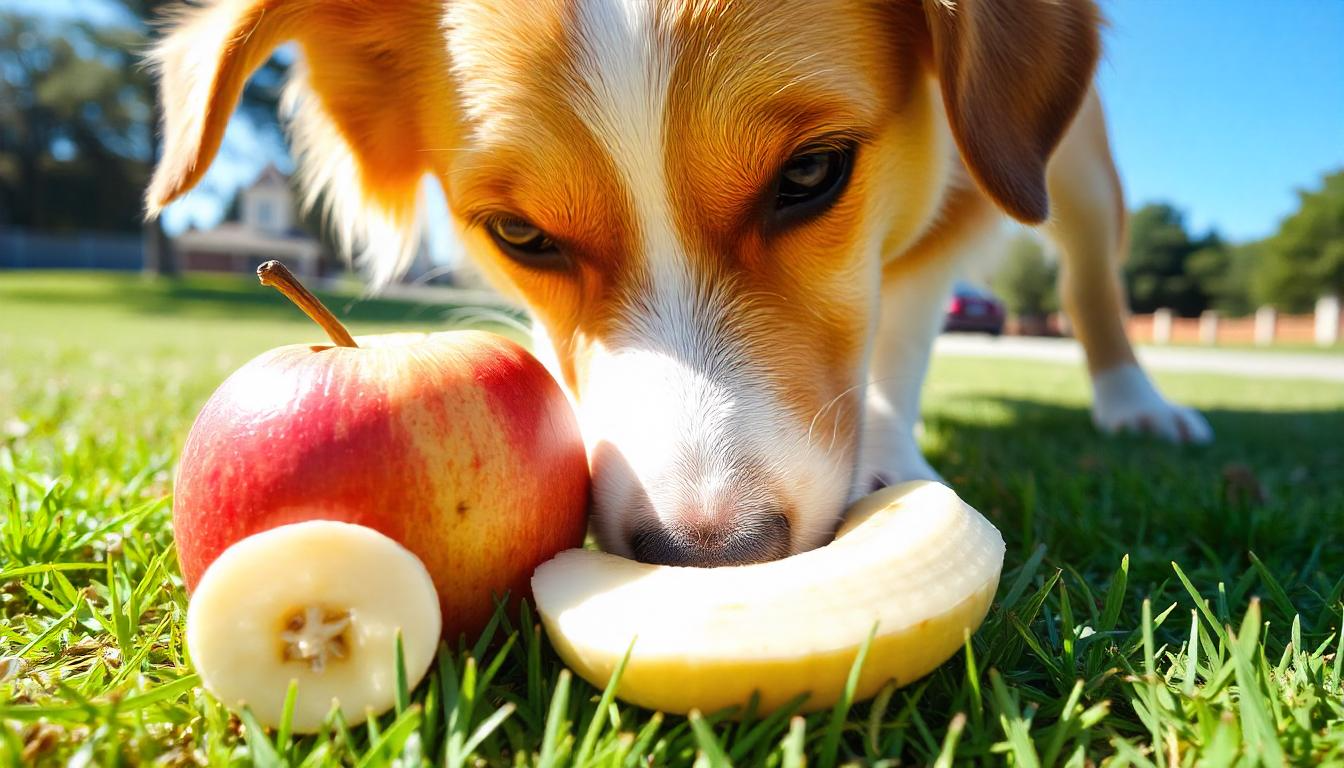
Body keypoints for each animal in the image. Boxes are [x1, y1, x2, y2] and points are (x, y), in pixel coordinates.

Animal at [149, 0, 1220, 570]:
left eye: (811, 173)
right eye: (520, 234)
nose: (709, 556)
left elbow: (907, 320)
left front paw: (886, 445)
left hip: (1073, 164)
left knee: (1091, 278)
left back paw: (1137, 402)